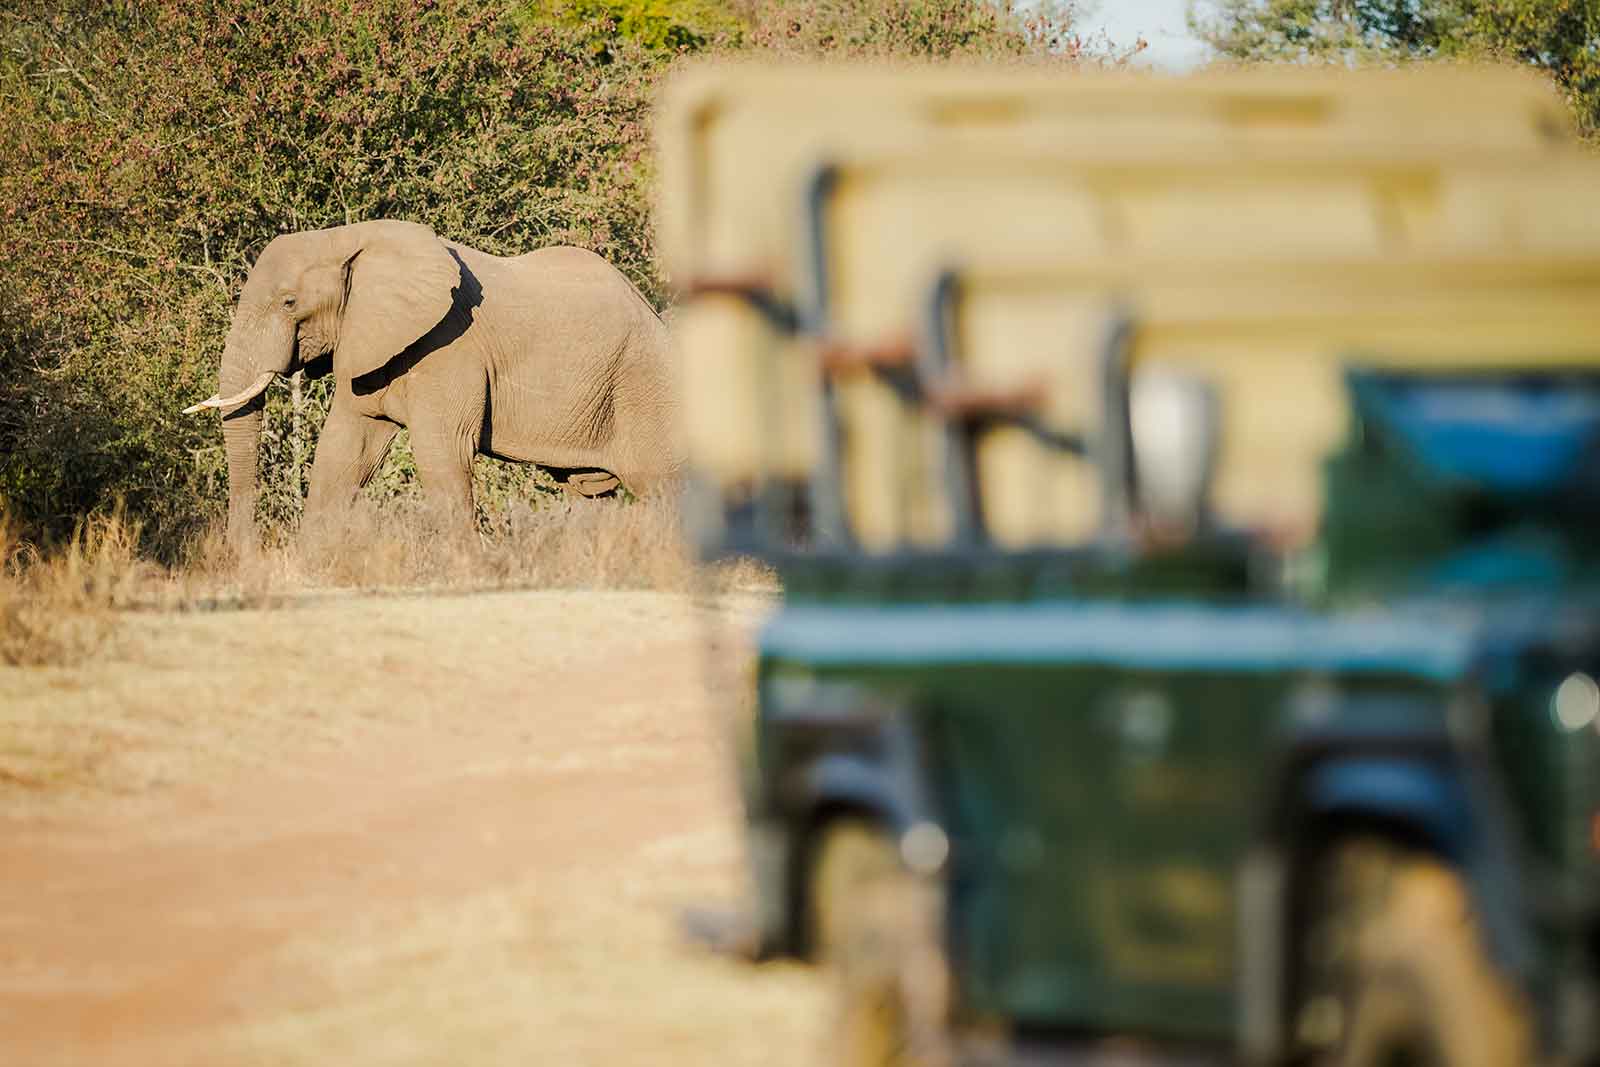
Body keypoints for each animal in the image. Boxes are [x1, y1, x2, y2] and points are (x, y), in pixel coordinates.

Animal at [183, 219, 681, 545]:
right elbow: (343, 452)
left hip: (647, 386)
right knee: (591, 492)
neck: (347, 238)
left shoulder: (449, 349)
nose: (246, 558)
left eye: (289, 302)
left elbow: (443, 449)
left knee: (665, 488)